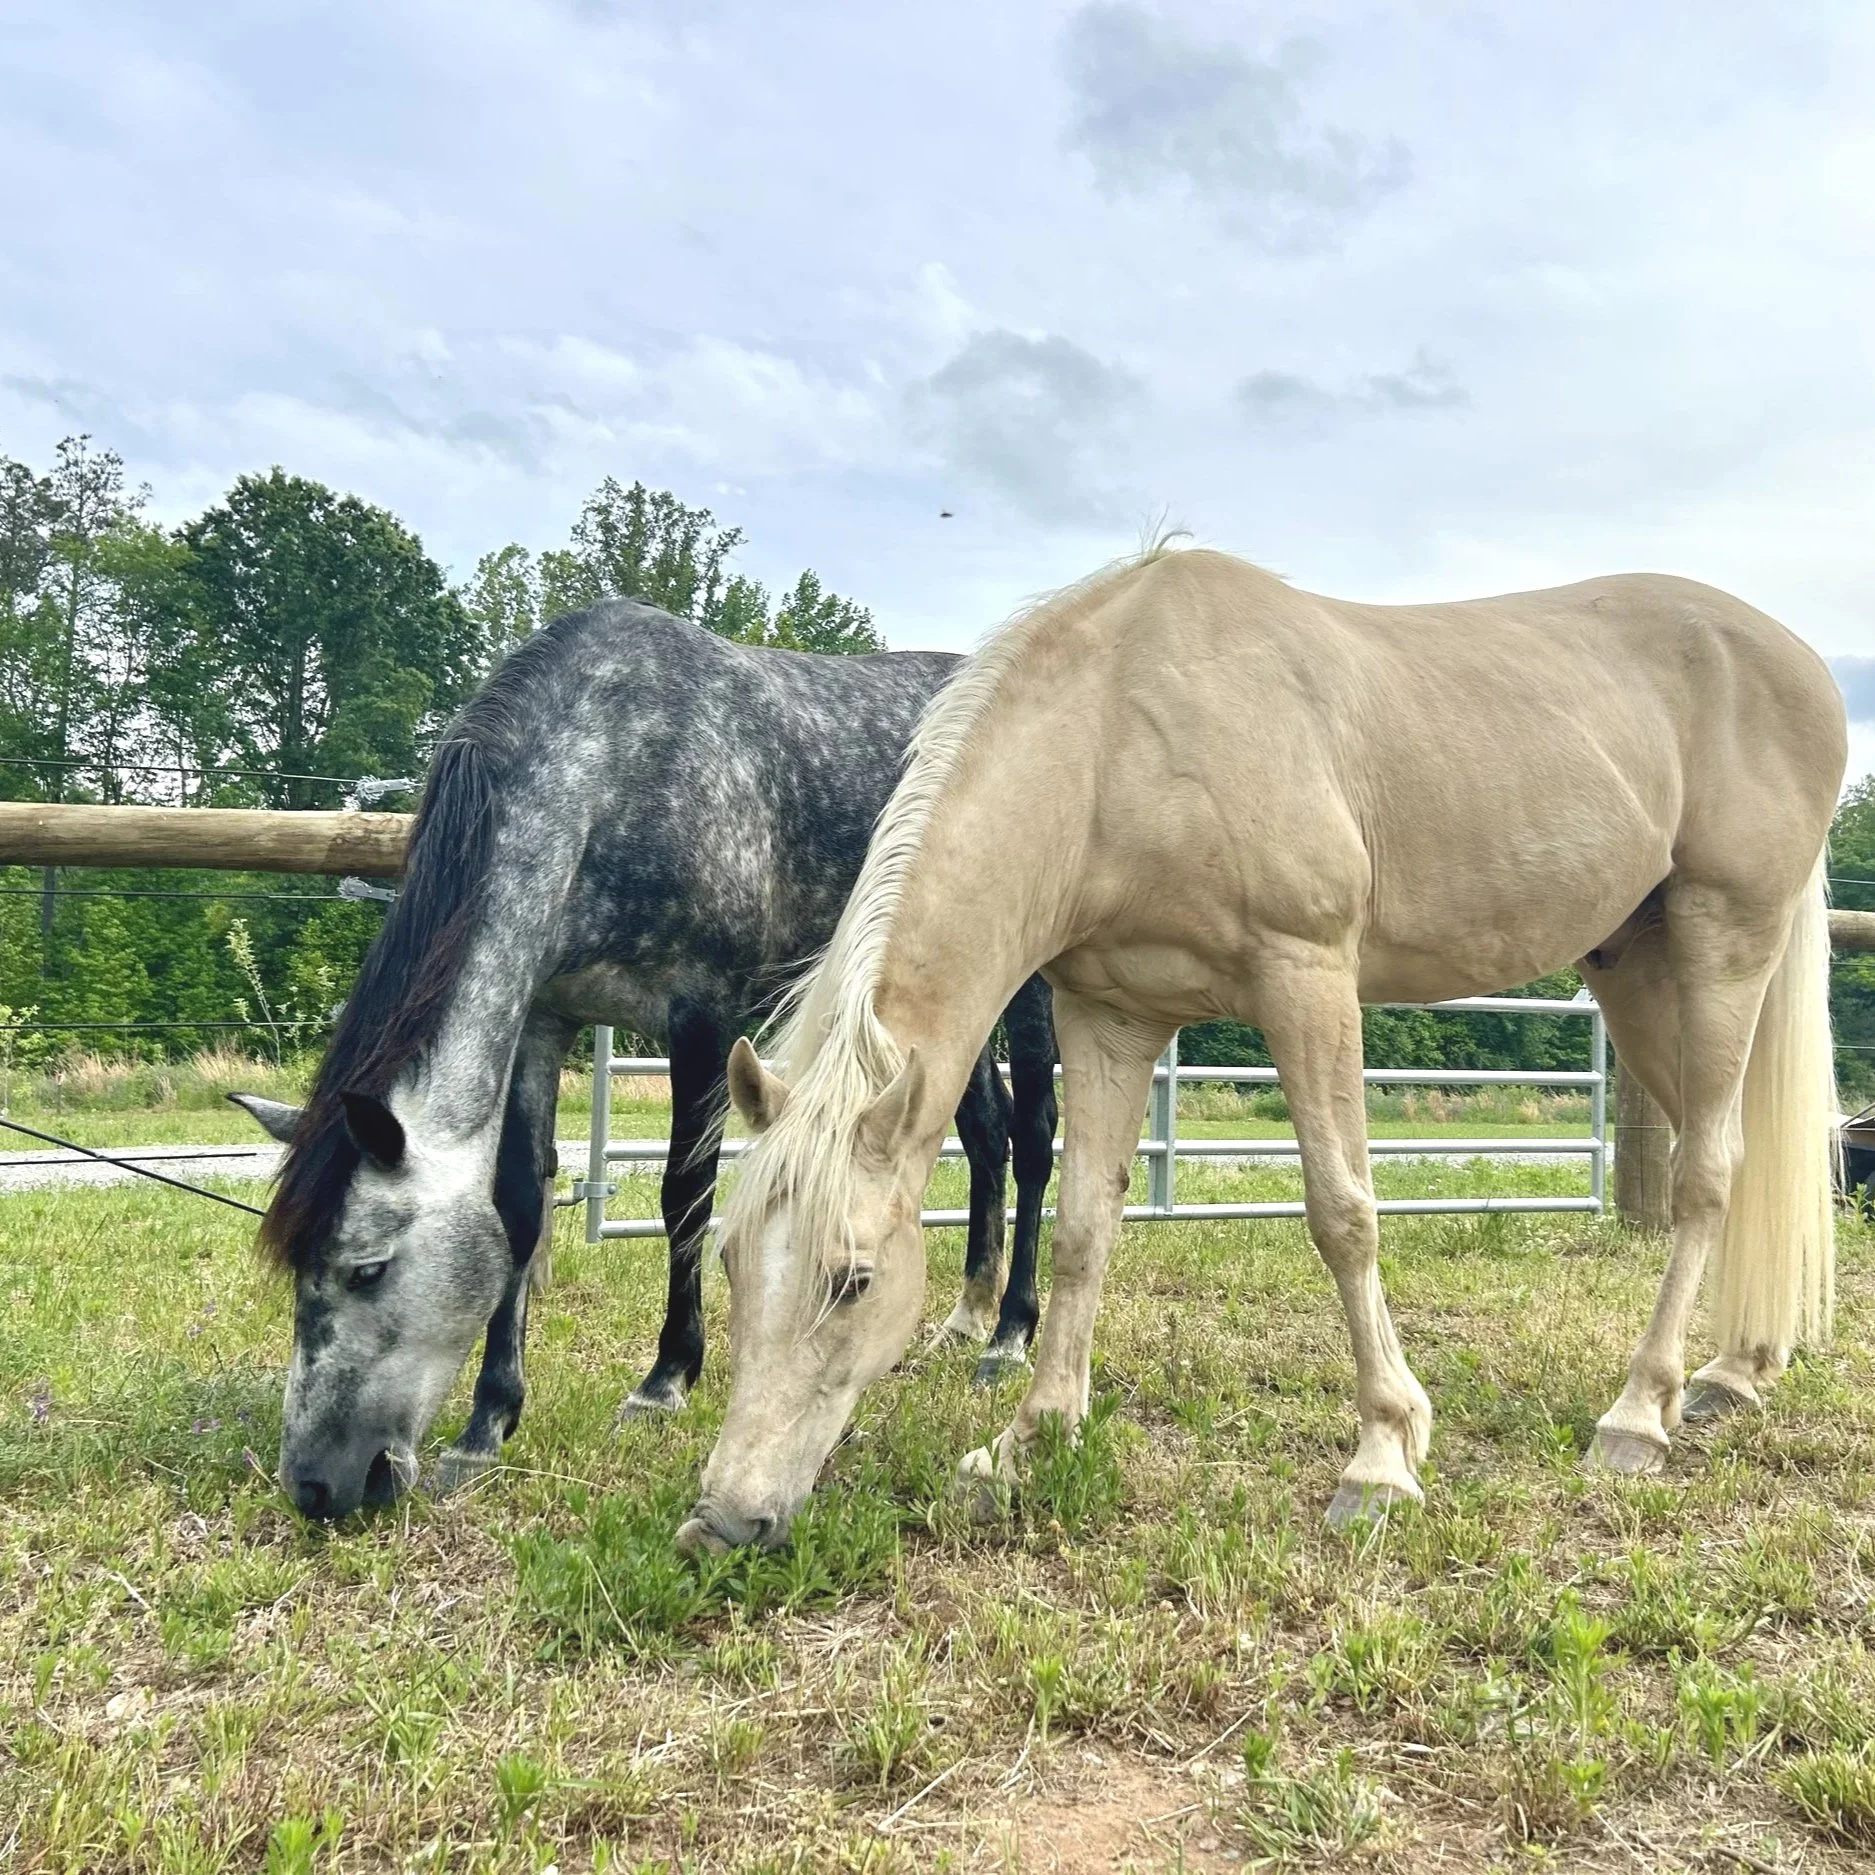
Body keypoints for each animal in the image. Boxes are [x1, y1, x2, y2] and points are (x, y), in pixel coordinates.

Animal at [235, 598, 1057, 1521]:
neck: (618, 765)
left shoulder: (699, 1014)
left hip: (1029, 986)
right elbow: (520, 1202)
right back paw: (964, 1316)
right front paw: (488, 1422)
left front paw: (665, 1378)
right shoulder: (544, 1019)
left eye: (367, 1268)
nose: (316, 1484)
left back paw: (1007, 1334)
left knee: (1031, 1138)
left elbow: (683, 1193)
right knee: (984, 1138)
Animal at [680, 544, 1844, 1554]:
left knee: (1708, 1172)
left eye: (853, 1280)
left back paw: (1637, 1415)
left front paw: (1382, 1457)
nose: (724, 1521)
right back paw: (1737, 1369)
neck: (1119, 736)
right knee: (1730, 1158)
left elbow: (1342, 1214)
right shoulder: (1109, 1014)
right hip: (1636, 970)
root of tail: (1798, 661)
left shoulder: (1306, 976)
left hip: (1724, 939)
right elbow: (1082, 1229)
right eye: (730, 1260)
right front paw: (1029, 1441)